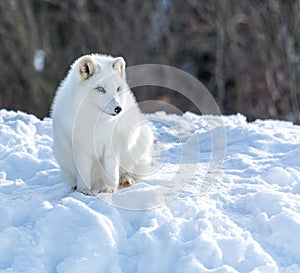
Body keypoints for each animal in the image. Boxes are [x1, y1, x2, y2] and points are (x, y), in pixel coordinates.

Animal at [51, 53, 152, 193]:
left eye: (117, 89)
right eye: (100, 89)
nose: (118, 109)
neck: (97, 123)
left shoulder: (112, 145)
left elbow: (111, 171)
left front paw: (109, 188)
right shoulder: (80, 146)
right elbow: (83, 171)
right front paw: (83, 190)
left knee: (126, 171)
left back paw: (125, 179)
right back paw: (75, 185)